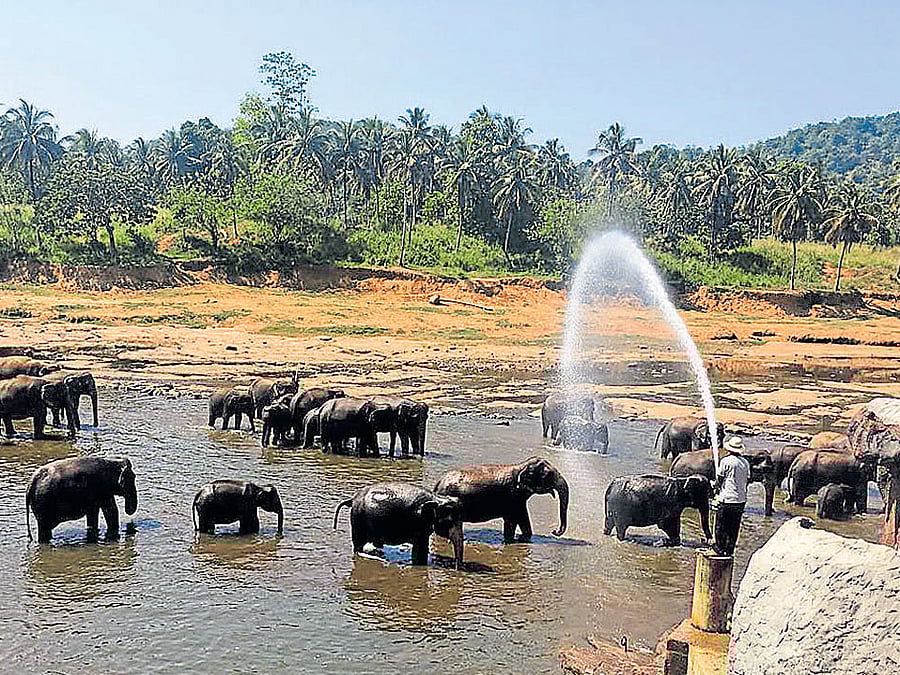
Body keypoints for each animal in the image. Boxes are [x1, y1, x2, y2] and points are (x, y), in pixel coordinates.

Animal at [333, 482, 464, 568]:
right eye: (449, 522)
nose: (457, 568)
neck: (437, 498)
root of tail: (352, 499)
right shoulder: (419, 522)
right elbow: (420, 548)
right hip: (358, 520)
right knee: (358, 547)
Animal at [433, 456, 570, 543]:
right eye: (548, 474)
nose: (554, 531)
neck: (521, 466)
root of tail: (438, 483)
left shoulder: (517, 498)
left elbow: (520, 518)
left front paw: (520, 538)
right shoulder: (513, 496)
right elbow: (514, 518)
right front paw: (514, 540)